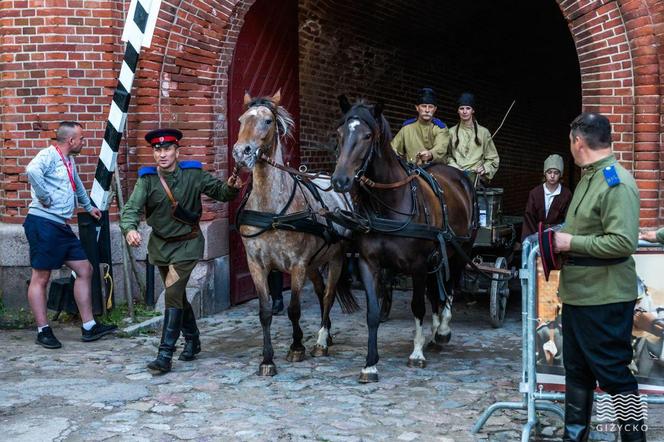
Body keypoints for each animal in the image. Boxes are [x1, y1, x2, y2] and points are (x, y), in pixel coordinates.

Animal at [233, 90, 358, 376]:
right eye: (241, 119)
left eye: (268, 121)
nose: (241, 152)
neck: (272, 209)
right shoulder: (256, 264)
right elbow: (265, 312)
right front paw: (267, 360)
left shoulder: (298, 264)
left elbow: (294, 309)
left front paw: (296, 347)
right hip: (314, 264)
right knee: (321, 291)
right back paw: (327, 334)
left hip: (335, 259)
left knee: (328, 295)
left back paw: (322, 341)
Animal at [330, 97, 474, 384]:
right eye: (339, 134)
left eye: (367, 136)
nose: (340, 180)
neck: (390, 203)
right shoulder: (368, 263)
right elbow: (373, 313)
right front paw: (370, 365)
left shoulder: (417, 264)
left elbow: (417, 306)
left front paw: (416, 353)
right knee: (436, 291)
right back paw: (435, 332)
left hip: (458, 251)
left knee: (449, 287)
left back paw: (443, 330)